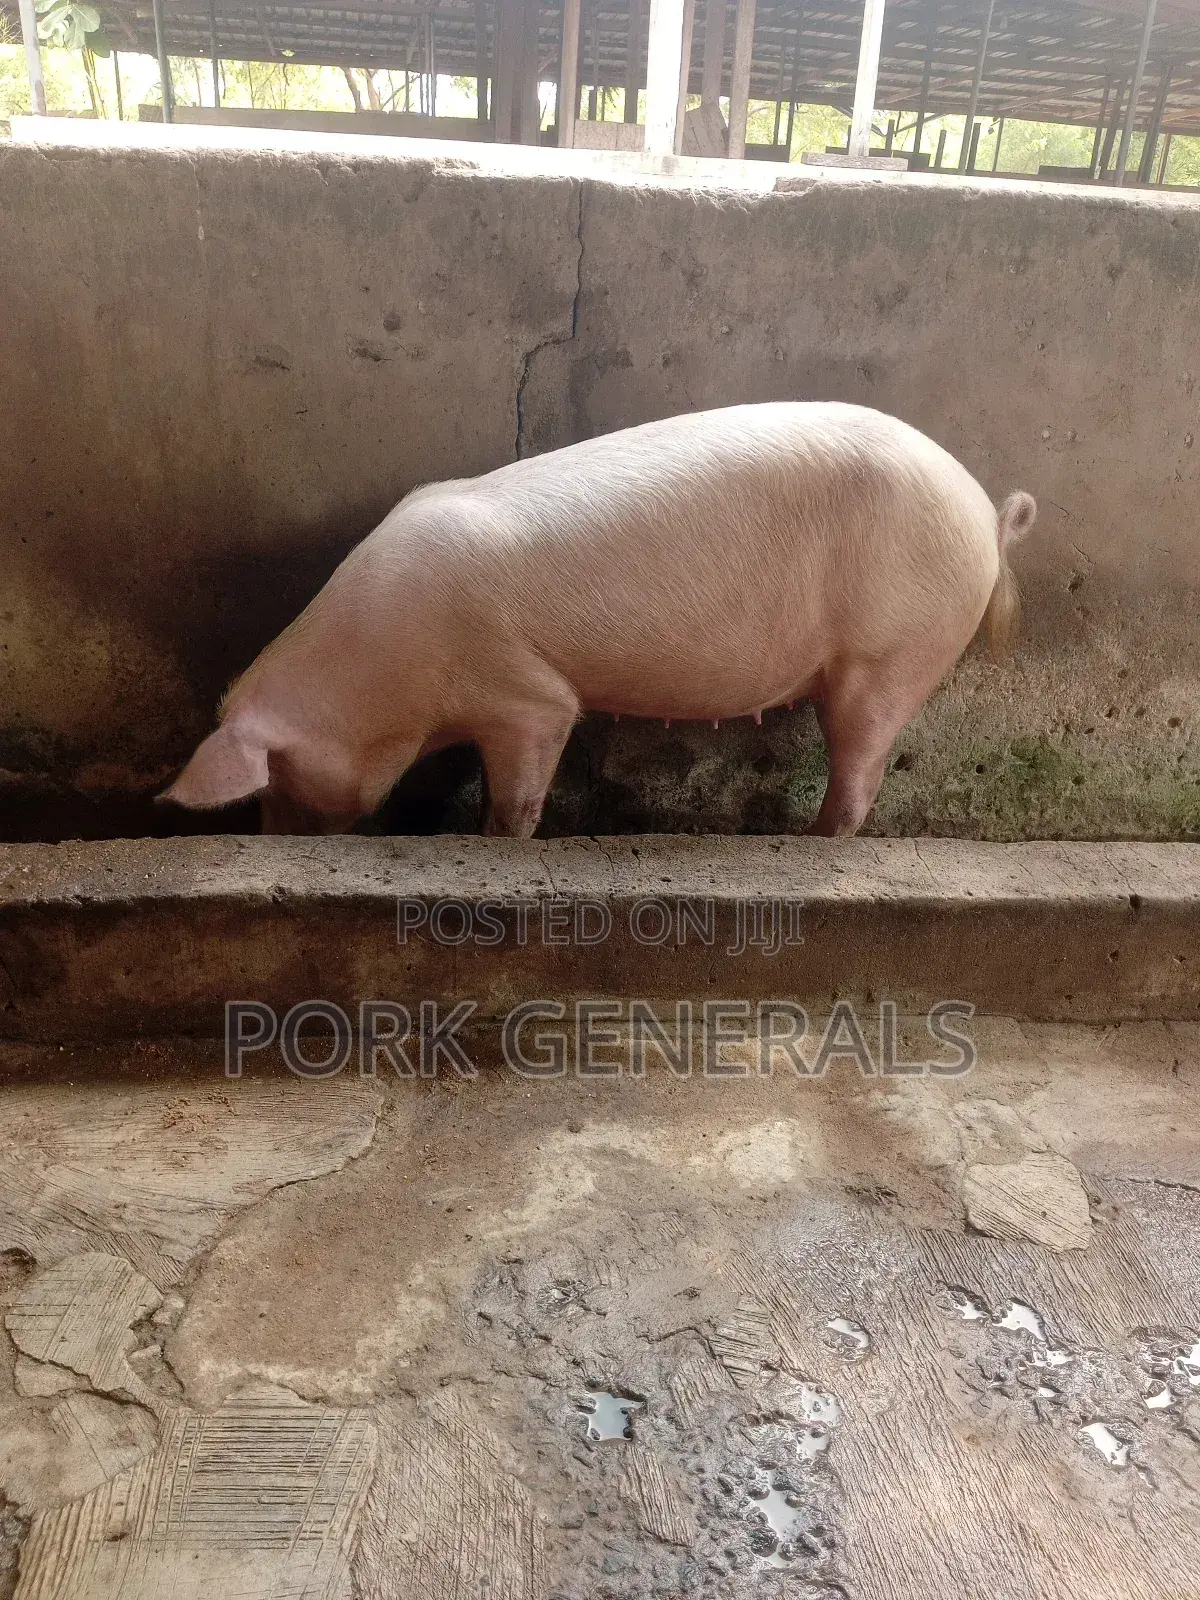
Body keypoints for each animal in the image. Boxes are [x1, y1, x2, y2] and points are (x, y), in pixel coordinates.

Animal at [162, 401, 1035, 838]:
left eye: (278, 779)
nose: (268, 842)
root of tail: (987, 514)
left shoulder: (525, 698)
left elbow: (516, 799)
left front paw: (493, 840)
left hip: (894, 654)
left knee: (860, 779)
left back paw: (802, 844)